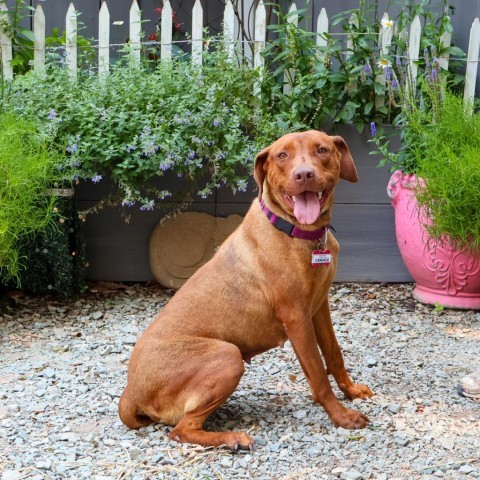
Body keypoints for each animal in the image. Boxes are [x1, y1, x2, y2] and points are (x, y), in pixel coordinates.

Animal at [118, 129, 374, 448]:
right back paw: (232, 438)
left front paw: (350, 391)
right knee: (180, 430)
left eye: (322, 150)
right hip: (228, 356)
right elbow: (318, 372)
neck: (296, 231)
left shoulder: (319, 308)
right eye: (282, 155)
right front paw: (341, 416)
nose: (304, 174)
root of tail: (130, 393)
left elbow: (334, 355)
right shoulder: (296, 318)